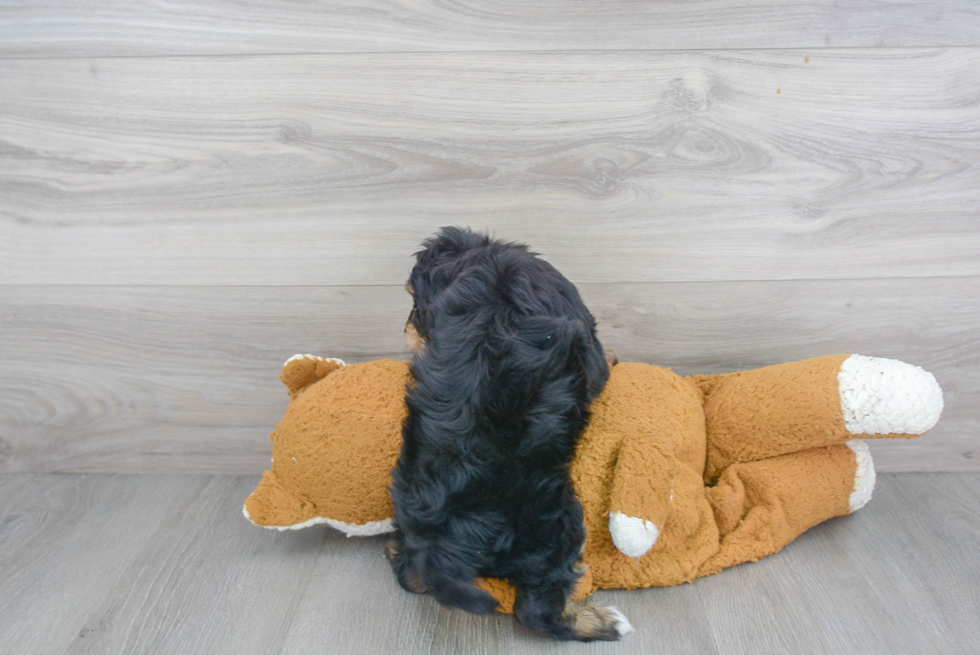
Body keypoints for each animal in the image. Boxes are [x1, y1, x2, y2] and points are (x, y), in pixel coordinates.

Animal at [386, 226, 632, 640]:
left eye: (417, 307)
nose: (404, 330)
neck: (480, 262)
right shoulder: (584, 329)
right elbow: (601, 365)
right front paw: (615, 357)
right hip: (555, 524)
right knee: (537, 610)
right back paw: (601, 621)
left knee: (411, 577)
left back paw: (394, 550)